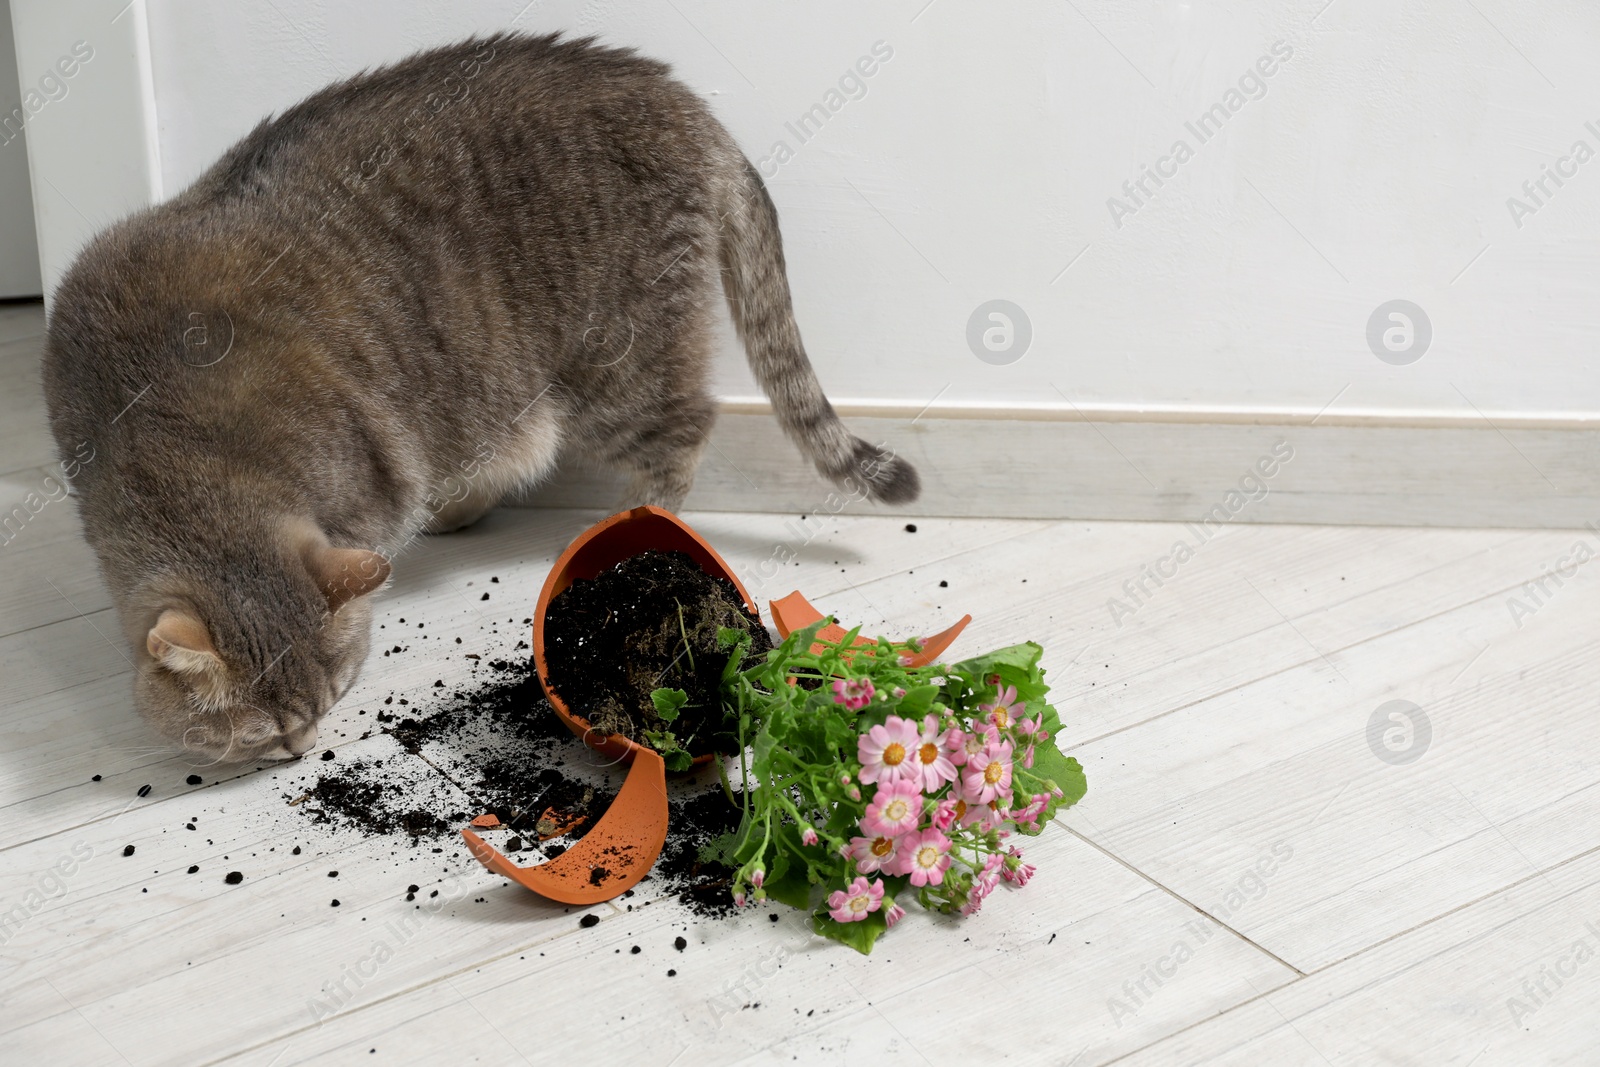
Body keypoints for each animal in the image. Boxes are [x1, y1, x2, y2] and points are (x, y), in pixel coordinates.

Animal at [43, 33, 921, 764]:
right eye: (260, 731)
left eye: (327, 702)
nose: (300, 749)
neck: (164, 431)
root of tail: (687, 106)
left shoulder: (365, 495)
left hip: (618, 371)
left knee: (682, 436)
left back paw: (630, 524)